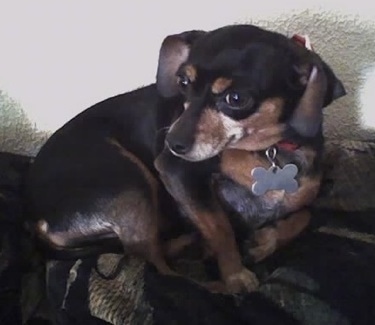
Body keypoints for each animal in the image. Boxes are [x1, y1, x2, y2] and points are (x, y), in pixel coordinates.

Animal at [25, 25, 346, 292]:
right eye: (182, 82)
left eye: (236, 99)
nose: (170, 143)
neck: (268, 152)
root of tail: (38, 218)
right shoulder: (179, 173)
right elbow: (221, 228)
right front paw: (236, 277)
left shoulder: (306, 196)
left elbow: (304, 216)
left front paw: (263, 242)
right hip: (131, 183)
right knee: (158, 268)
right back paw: (214, 284)